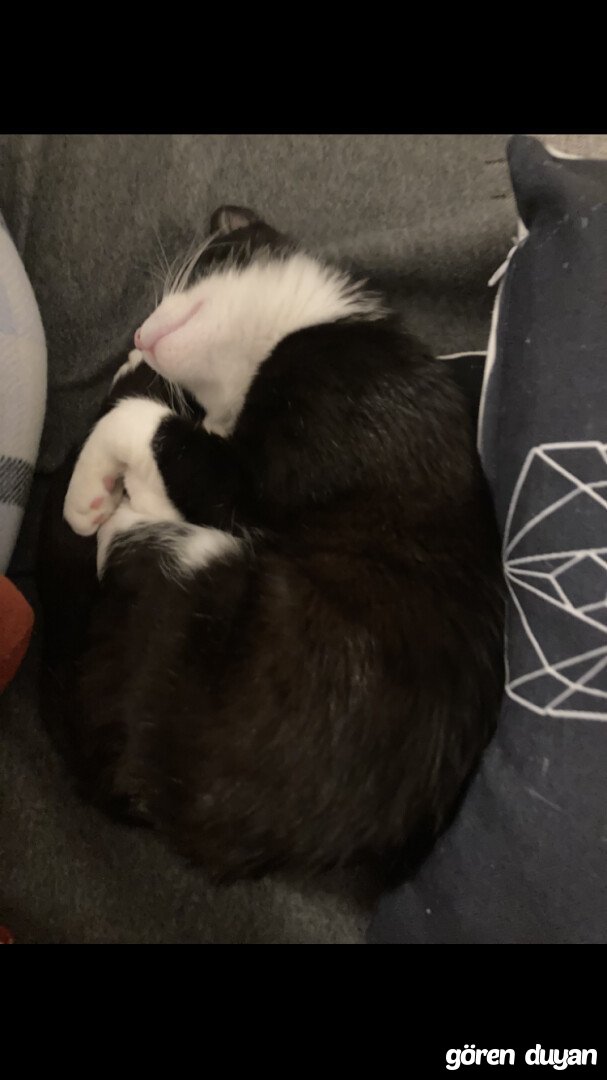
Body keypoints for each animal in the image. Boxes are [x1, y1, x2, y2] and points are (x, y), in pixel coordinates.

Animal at [37, 205, 504, 884]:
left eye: (196, 269)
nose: (140, 335)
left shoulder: (264, 475)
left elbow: (142, 423)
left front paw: (85, 493)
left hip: (198, 579)